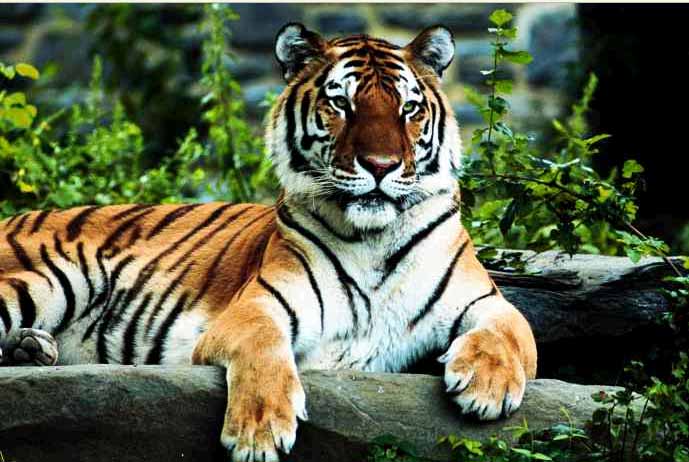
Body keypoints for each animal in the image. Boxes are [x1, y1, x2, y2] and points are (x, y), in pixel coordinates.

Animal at [0, 24, 537, 462]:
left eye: (409, 109)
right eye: (341, 104)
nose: (381, 166)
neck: (373, 239)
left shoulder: (484, 299)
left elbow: (510, 332)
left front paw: (487, 388)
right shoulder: (258, 305)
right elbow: (263, 347)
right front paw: (258, 433)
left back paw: (31, 349)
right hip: (59, 277)